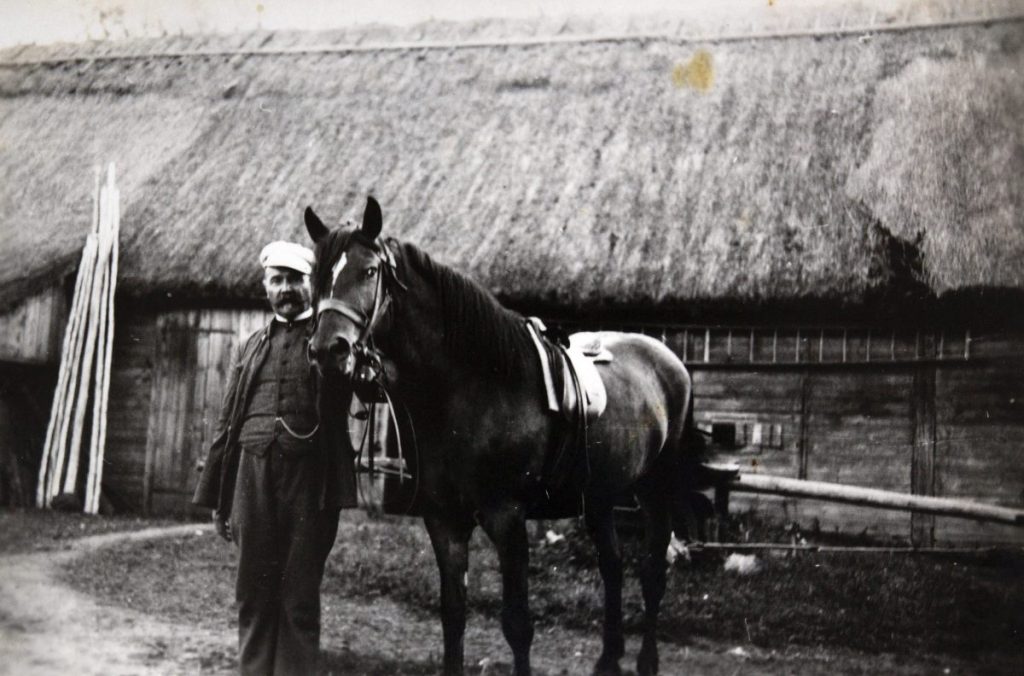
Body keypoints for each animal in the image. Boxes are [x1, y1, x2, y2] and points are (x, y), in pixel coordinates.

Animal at [304, 196, 705, 676]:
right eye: (315, 276)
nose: (328, 350)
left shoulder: (507, 519)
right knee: (613, 565)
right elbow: (453, 614)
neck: (473, 388)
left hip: (656, 488)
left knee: (651, 572)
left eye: (368, 271)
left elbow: (517, 624)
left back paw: (646, 661)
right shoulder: (445, 520)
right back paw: (608, 658)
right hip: (600, 495)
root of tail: (670, 361)